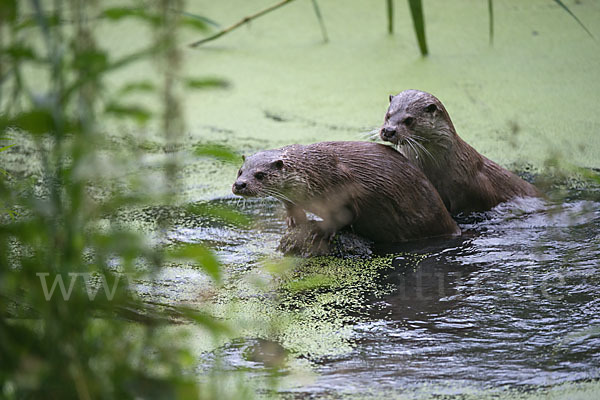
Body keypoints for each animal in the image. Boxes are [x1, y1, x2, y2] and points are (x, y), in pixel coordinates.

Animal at [232, 142, 462, 245]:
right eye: (240, 171)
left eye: (260, 175)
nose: (240, 185)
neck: (313, 173)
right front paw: (293, 221)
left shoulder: (341, 184)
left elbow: (345, 215)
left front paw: (320, 230)